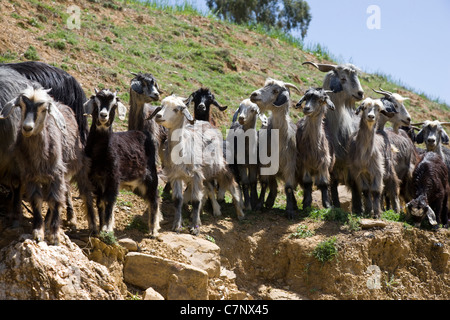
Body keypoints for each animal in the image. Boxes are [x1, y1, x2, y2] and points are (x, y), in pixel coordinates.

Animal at [0, 85, 94, 245]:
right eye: (21, 106)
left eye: (44, 109)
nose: (27, 128)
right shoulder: (30, 176)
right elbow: (37, 201)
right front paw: (38, 231)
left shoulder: (56, 174)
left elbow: (55, 201)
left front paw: (54, 235)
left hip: (77, 163)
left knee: (81, 191)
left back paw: (92, 226)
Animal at [84, 89, 162, 236]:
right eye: (96, 102)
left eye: (114, 105)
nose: (103, 115)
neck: (100, 153)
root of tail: (144, 134)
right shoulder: (96, 179)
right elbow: (100, 202)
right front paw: (101, 228)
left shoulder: (113, 178)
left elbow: (109, 200)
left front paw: (107, 228)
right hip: (137, 185)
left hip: (151, 177)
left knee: (154, 199)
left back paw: (153, 231)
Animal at [149, 95, 244, 235]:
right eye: (161, 106)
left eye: (176, 109)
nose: (158, 116)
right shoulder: (176, 176)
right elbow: (178, 200)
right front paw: (177, 225)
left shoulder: (196, 175)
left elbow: (195, 200)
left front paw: (194, 227)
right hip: (206, 173)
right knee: (209, 189)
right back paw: (211, 211)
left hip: (220, 168)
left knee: (233, 186)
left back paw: (239, 212)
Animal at [250, 78, 302, 219]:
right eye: (264, 86)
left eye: (275, 91)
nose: (254, 95)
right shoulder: (265, 164)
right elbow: (264, 184)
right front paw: (259, 205)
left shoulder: (290, 165)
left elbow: (288, 188)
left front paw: (290, 211)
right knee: (273, 185)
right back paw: (269, 202)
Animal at [300, 61, 364, 210]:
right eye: (343, 78)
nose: (360, 93)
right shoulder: (332, 165)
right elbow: (332, 184)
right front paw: (336, 204)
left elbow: (354, 184)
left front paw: (358, 209)